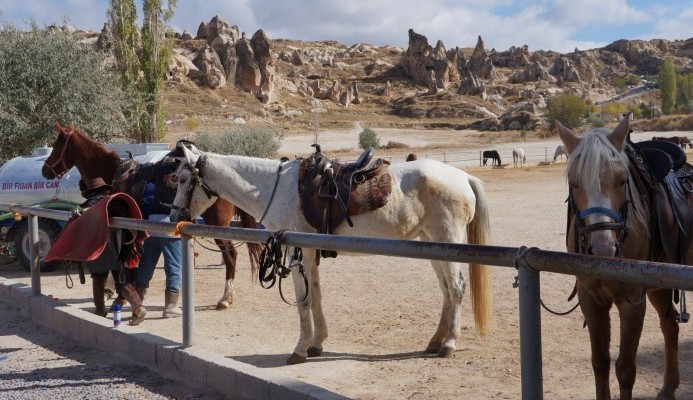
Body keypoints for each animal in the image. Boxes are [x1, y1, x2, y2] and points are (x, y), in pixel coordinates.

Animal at [41, 123, 262, 310]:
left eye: (56, 145)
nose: (44, 170)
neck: (114, 173)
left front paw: (120, 293)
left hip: (217, 224)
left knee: (231, 255)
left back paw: (225, 297)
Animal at [168, 145, 492, 364]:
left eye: (182, 180)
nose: (174, 216)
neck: (274, 189)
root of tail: (464, 177)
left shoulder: (295, 251)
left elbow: (302, 301)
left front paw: (299, 350)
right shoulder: (309, 253)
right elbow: (316, 296)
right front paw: (316, 344)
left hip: (446, 238)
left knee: (457, 288)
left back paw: (449, 344)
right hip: (433, 245)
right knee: (447, 290)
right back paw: (436, 341)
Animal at [556, 115, 684, 400]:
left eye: (623, 180)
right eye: (574, 182)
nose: (603, 249)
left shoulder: (632, 302)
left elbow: (625, 368)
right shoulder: (590, 301)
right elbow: (600, 363)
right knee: (670, 325)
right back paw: (668, 388)